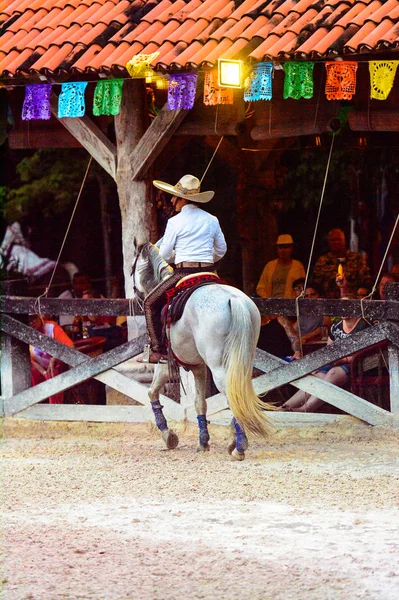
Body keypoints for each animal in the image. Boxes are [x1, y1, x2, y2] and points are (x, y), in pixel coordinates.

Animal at [131, 241, 276, 462]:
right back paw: (234, 440)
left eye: (132, 266)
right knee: (238, 392)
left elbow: (151, 392)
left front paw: (168, 436)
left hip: (218, 366)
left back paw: (239, 447)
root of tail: (234, 300)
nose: (134, 295)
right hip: (242, 360)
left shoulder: (165, 364)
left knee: (232, 395)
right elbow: (200, 403)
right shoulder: (198, 366)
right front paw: (203, 441)